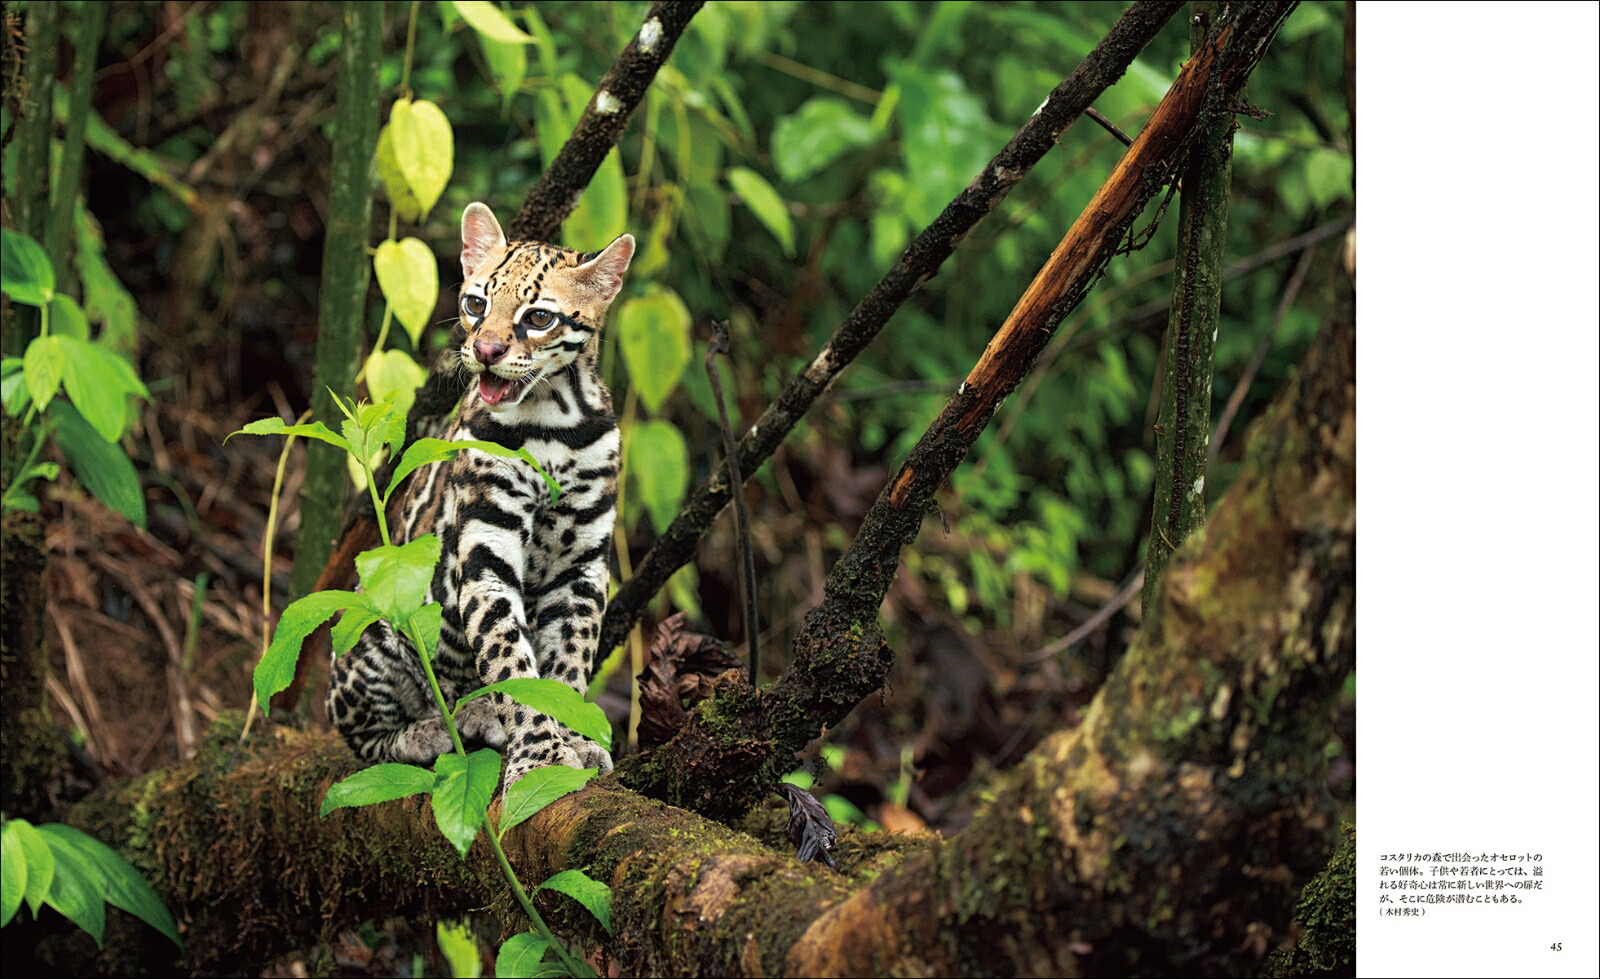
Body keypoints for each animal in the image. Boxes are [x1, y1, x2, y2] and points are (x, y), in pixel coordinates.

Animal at [328, 200, 633, 787]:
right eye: (475, 303)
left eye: (538, 318)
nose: (486, 350)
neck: (552, 419)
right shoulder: (487, 548)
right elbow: (510, 659)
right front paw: (539, 757)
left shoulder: (583, 566)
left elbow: (569, 660)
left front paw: (574, 738)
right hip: (374, 621)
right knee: (360, 735)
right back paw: (441, 726)